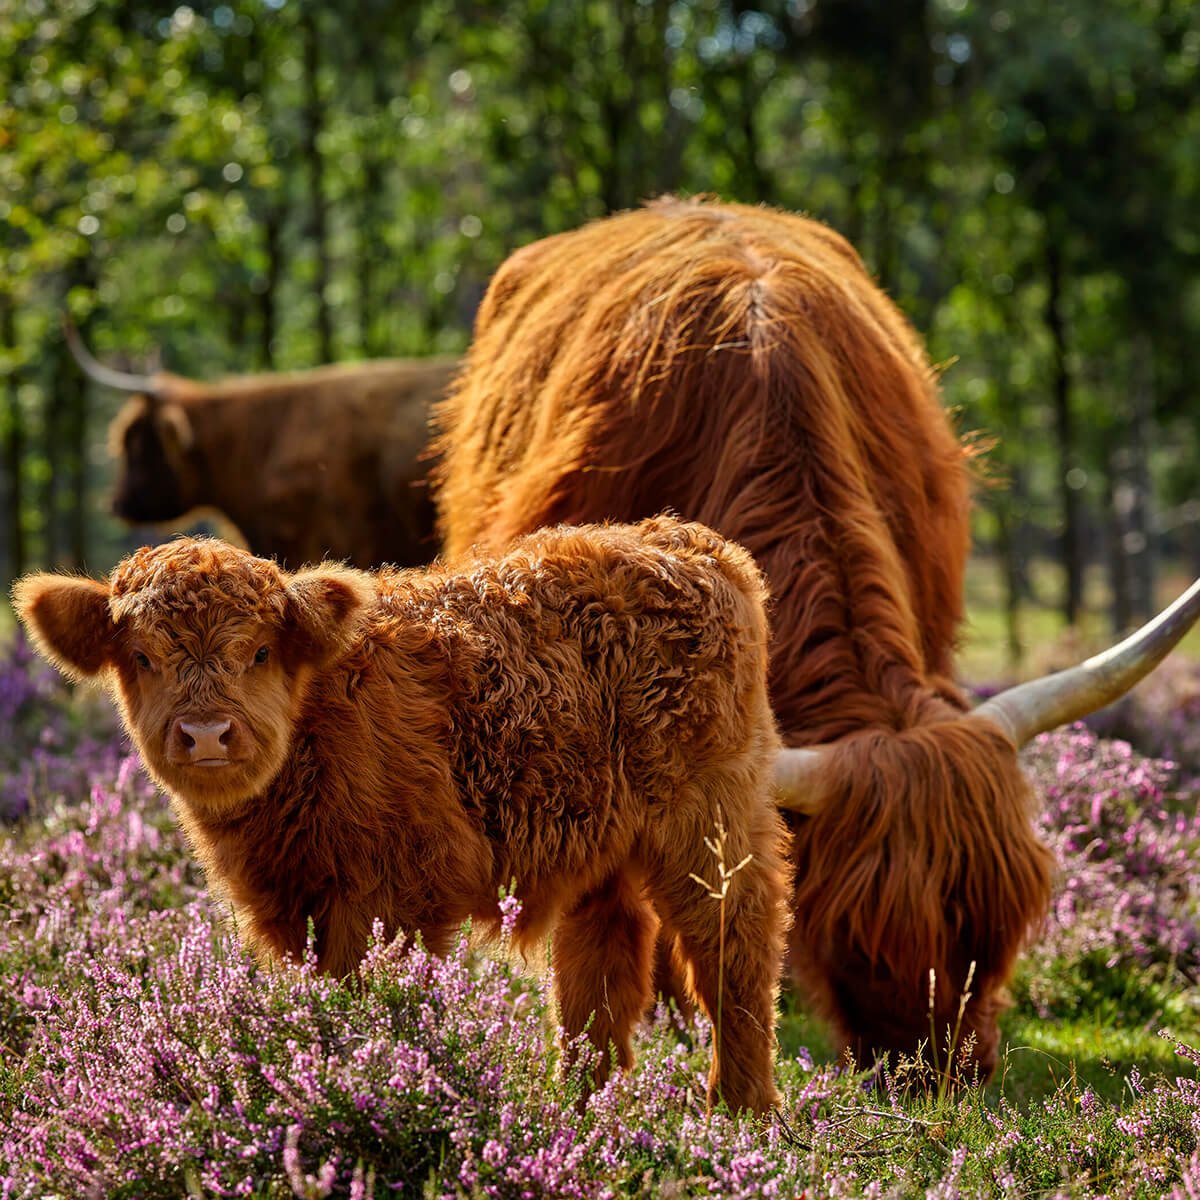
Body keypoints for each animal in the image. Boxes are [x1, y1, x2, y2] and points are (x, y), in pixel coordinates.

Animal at [16, 516, 796, 1113]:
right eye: (142, 657)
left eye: (259, 651)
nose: (206, 734)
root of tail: (682, 541)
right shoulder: (299, 900)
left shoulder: (393, 896)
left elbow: (371, 997)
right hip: (601, 839)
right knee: (601, 967)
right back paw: (577, 1108)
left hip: (711, 820)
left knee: (735, 945)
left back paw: (740, 1112)